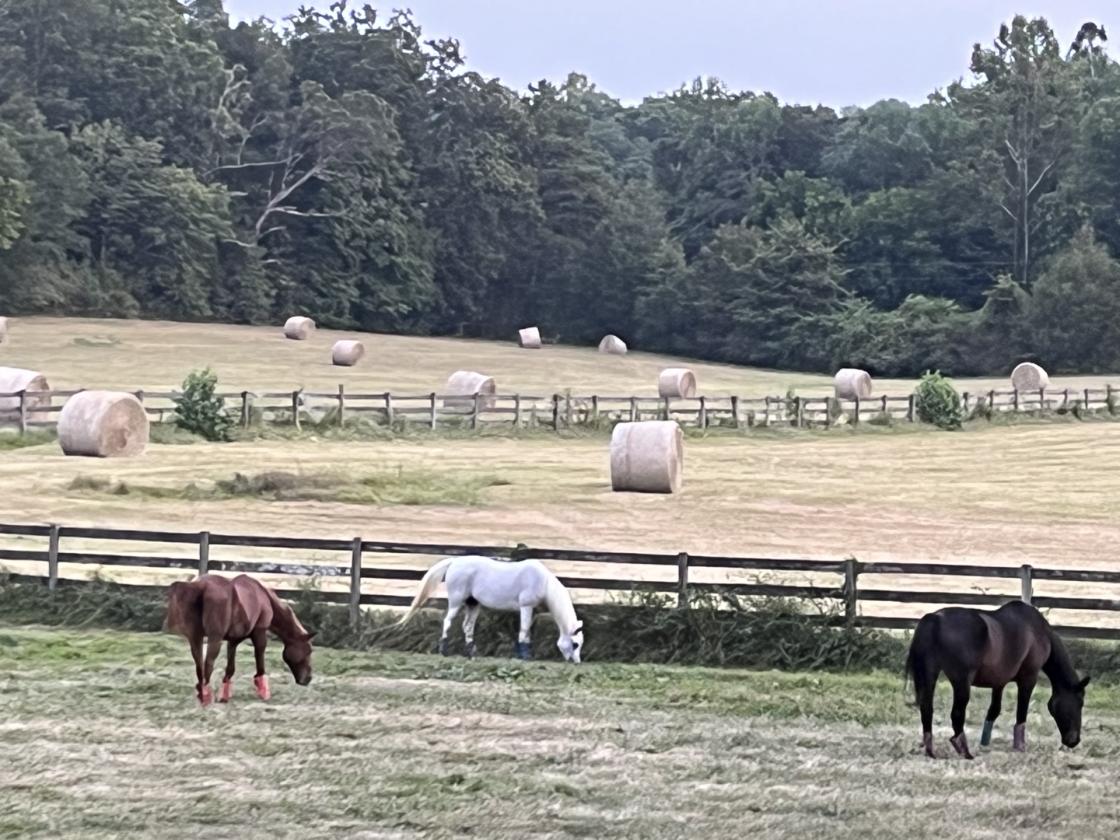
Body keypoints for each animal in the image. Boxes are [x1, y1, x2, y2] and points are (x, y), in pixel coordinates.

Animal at [164, 574, 316, 705]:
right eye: (308, 651)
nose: (308, 679)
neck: (263, 596)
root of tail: (200, 586)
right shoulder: (259, 633)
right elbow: (260, 659)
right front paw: (264, 691)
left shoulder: (233, 640)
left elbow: (230, 668)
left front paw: (224, 696)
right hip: (214, 639)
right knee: (208, 664)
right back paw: (206, 698)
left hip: (196, 638)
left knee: (199, 665)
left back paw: (201, 692)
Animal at [396, 555, 584, 662]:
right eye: (575, 644)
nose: (576, 662)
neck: (544, 583)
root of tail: (454, 561)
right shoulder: (526, 607)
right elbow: (523, 630)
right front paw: (524, 657)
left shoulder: (532, 611)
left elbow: (528, 632)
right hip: (456, 602)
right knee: (448, 621)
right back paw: (444, 651)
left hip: (473, 604)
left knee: (467, 627)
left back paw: (471, 654)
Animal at [905, 600, 1089, 759]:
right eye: (1079, 703)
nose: (1073, 741)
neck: (1038, 631)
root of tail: (935, 618)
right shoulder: (1029, 678)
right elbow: (1021, 712)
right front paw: (1020, 746)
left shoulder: (999, 682)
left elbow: (994, 710)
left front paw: (985, 743)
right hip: (961, 681)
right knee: (957, 713)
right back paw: (965, 751)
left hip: (930, 673)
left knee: (926, 708)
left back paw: (930, 751)